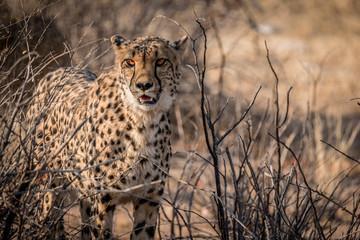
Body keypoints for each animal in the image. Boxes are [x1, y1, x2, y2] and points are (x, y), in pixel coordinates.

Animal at [28, 34, 187, 239]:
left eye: (161, 61)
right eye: (130, 62)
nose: (144, 85)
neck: (143, 122)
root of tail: (57, 69)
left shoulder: (148, 200)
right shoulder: (104, 200)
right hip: (49, 185)